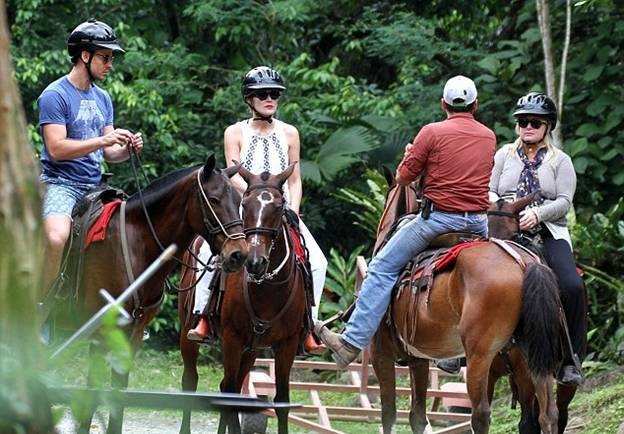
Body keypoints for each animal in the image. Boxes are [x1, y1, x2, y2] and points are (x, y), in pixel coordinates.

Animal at [72, 156, 247, 434]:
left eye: (240, 201)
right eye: (214, 199)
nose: (239, 254)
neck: (135, 246)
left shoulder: (131, 335)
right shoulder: (101, 333)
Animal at [370, 181, 560, 434]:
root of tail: (523, 263)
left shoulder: (380, 351)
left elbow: (388, 413)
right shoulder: (418, 358)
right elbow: (417, 416)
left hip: (480, 356)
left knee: (481, 415)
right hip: (534, 352)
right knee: (548, 414)